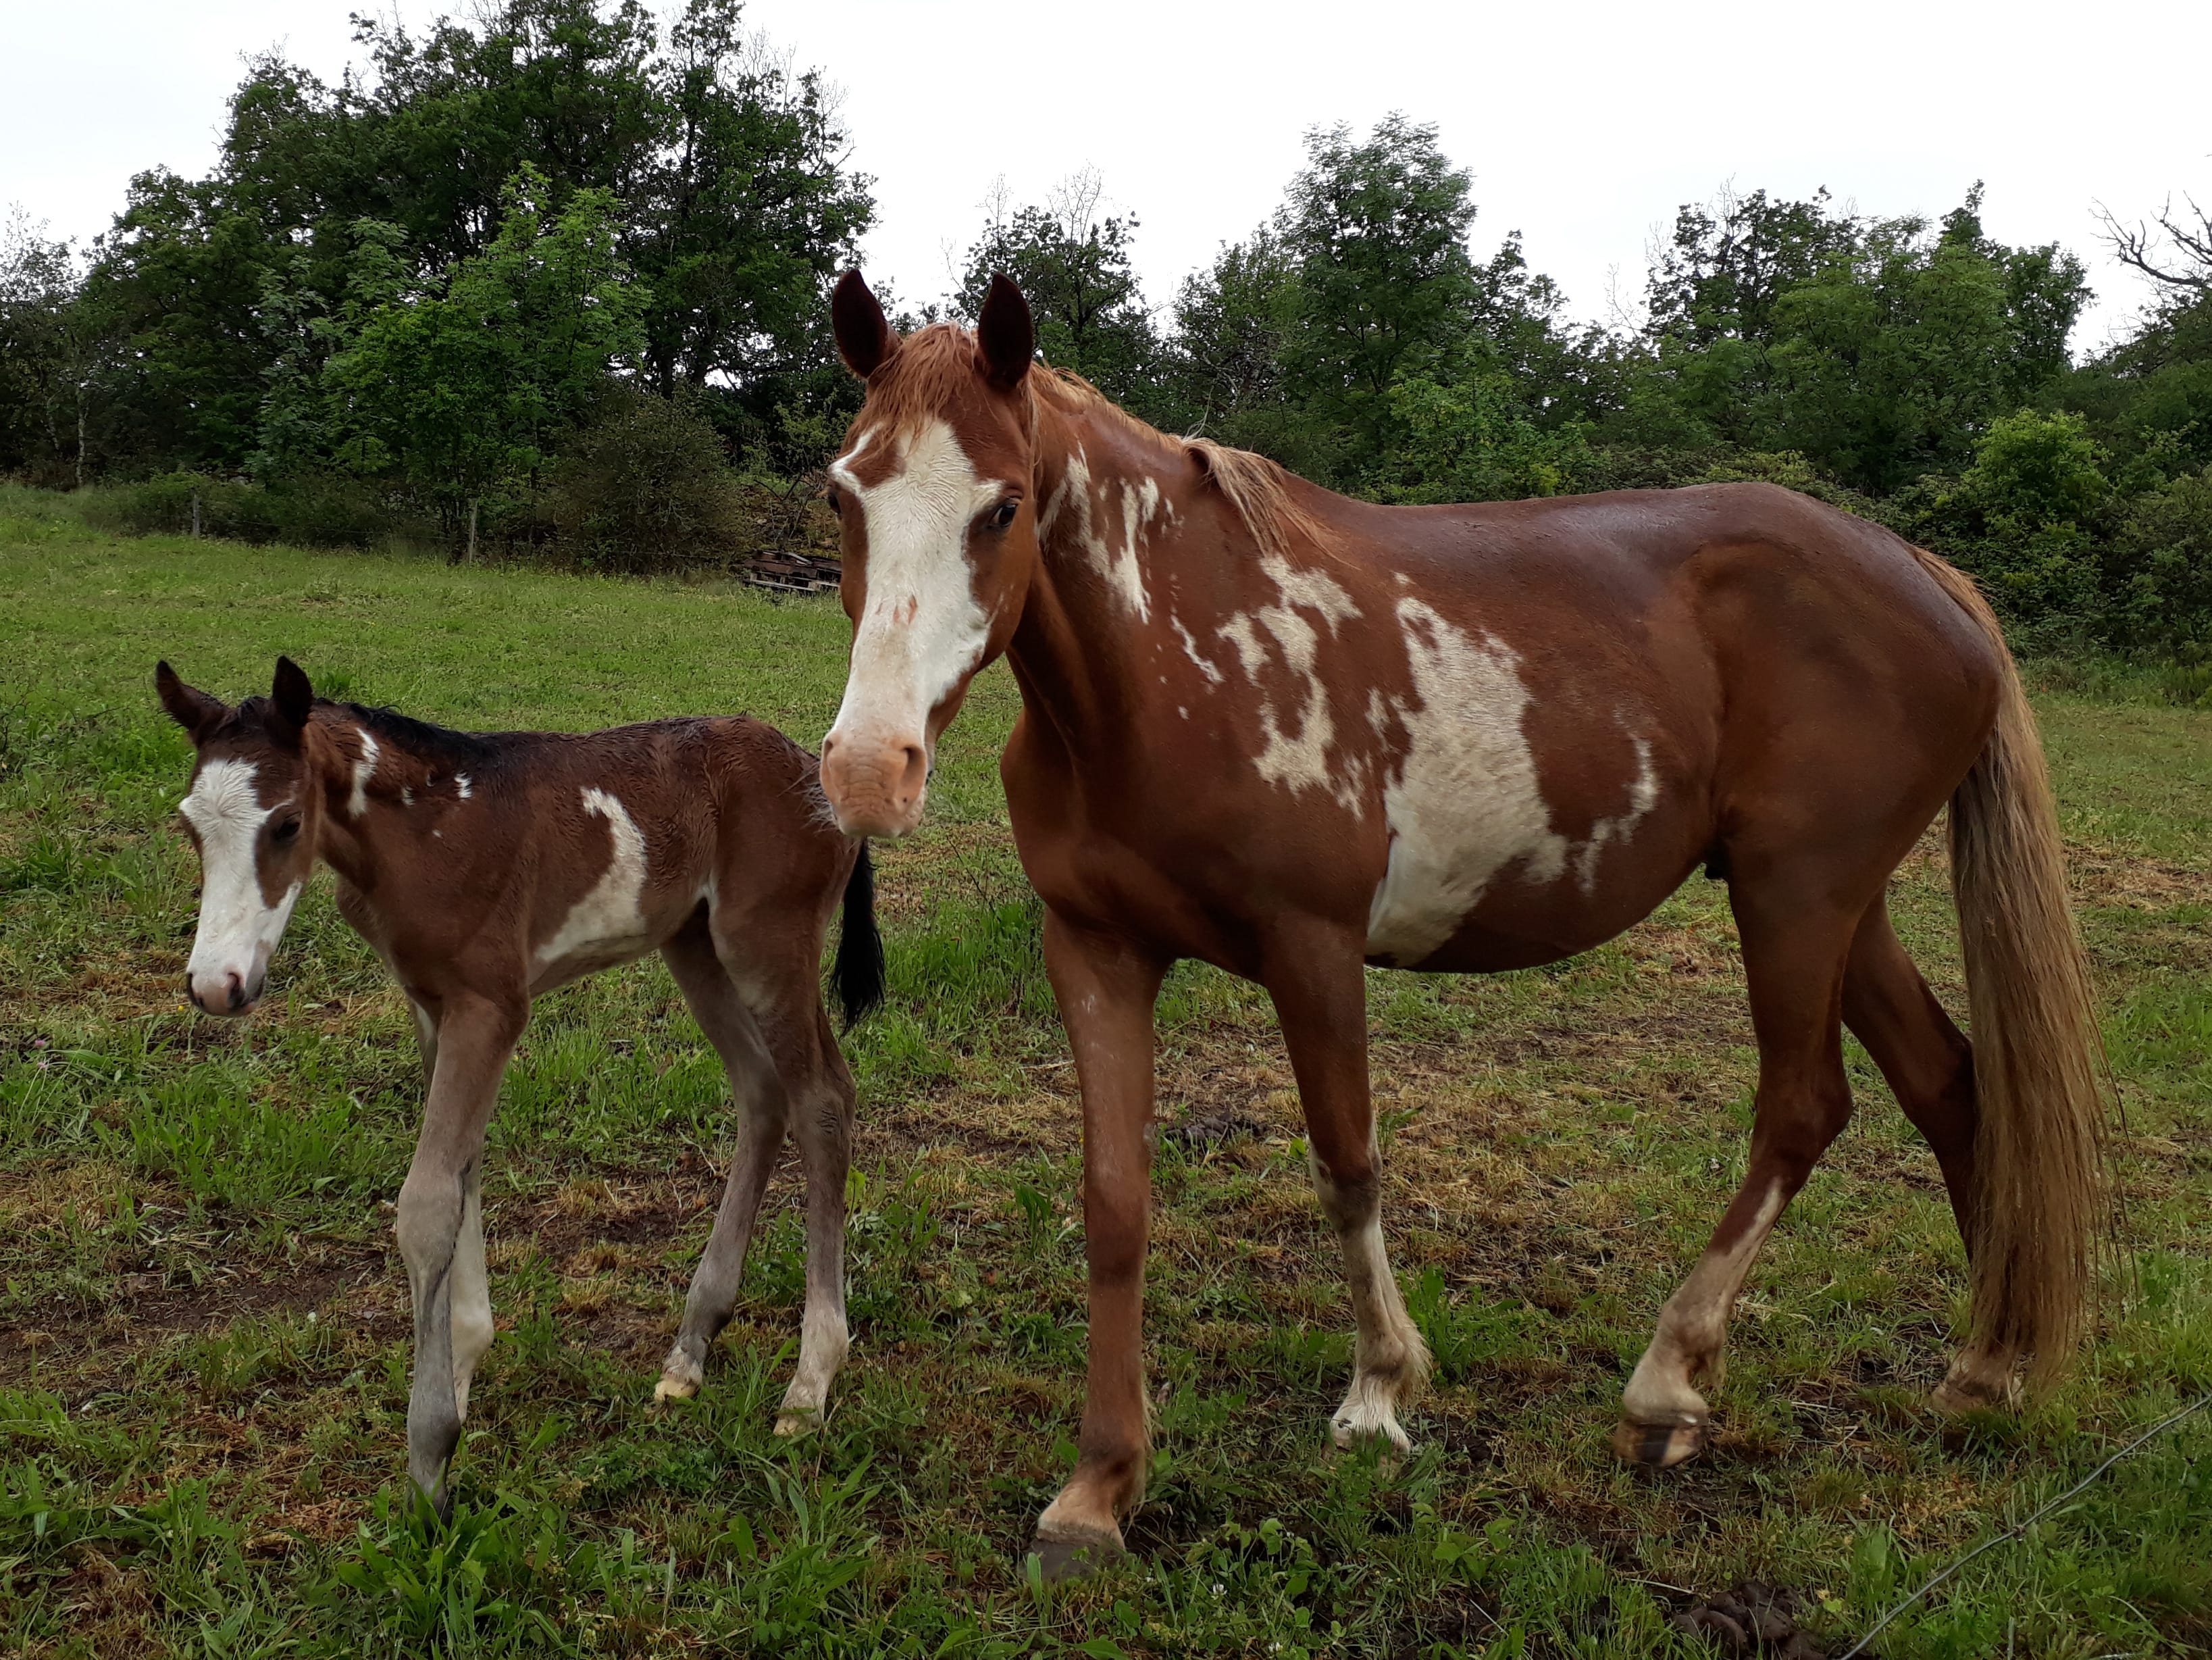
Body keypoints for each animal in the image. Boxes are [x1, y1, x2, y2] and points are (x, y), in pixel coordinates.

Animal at [158, 659, 880, 1505]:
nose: (217, 986)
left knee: (821, 1100)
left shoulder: (492, 1006)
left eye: (283, 825)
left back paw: (810, 1382)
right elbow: (461, 1176)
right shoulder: (434, 1008)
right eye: (190, 826)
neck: (426, 832)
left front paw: (430, 1457)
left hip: (768, 944)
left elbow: (426, 1204)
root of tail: (809, 770)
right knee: (761, 1093)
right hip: (694, 945)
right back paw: (691, 1348)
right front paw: (464, 1370)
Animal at [814, 270, 2105, 1576]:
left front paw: (1379, 1392)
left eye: (1003, 505)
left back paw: (1666, 1388)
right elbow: (1116, 1203)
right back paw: (1985, 1371)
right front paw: (1097, 1491)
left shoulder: (1312, 947)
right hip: (1837, 906)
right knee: (1949, 1084)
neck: (1173, 669)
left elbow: (1347, 1163)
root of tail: (1921, 573)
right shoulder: (1097, 947)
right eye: (841, 493)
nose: (870, 771)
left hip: (1797, 899)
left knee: (1804, 1110)